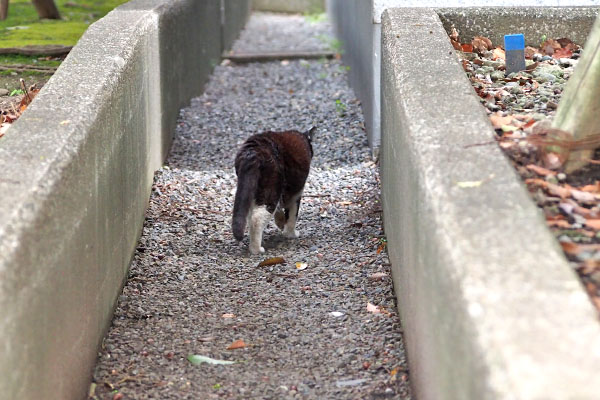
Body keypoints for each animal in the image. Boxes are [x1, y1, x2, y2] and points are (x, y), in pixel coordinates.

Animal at [231, 126, 316, 255]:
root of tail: (253, 151)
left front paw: (280, 222)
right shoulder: (296, 192)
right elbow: (292, 215)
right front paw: (290, 234)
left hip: (253, 190)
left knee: (251, 214)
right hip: (271, 188)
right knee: (257, 218)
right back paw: (256, 249)